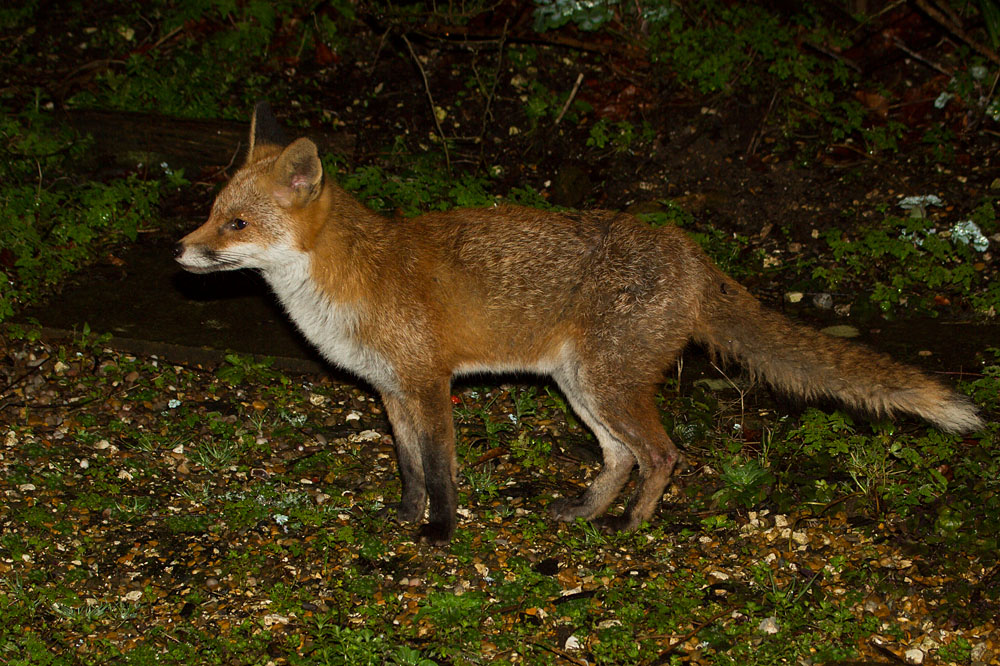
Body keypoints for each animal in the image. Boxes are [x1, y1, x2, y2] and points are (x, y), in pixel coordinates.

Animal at [175, 102, 984, 545]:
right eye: (213, 211)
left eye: (236, 224)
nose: (180, 251)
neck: (344, 284)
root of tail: (690, 252)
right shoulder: (391, 393)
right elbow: (407, 470)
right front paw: (404, 521)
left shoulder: (429, 386)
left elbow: (441, 472)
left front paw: (439, 534)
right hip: (582, 386)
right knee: (621, 457)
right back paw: (588, 514)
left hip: (606, 384)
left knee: (662, 454)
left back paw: (630, 528)